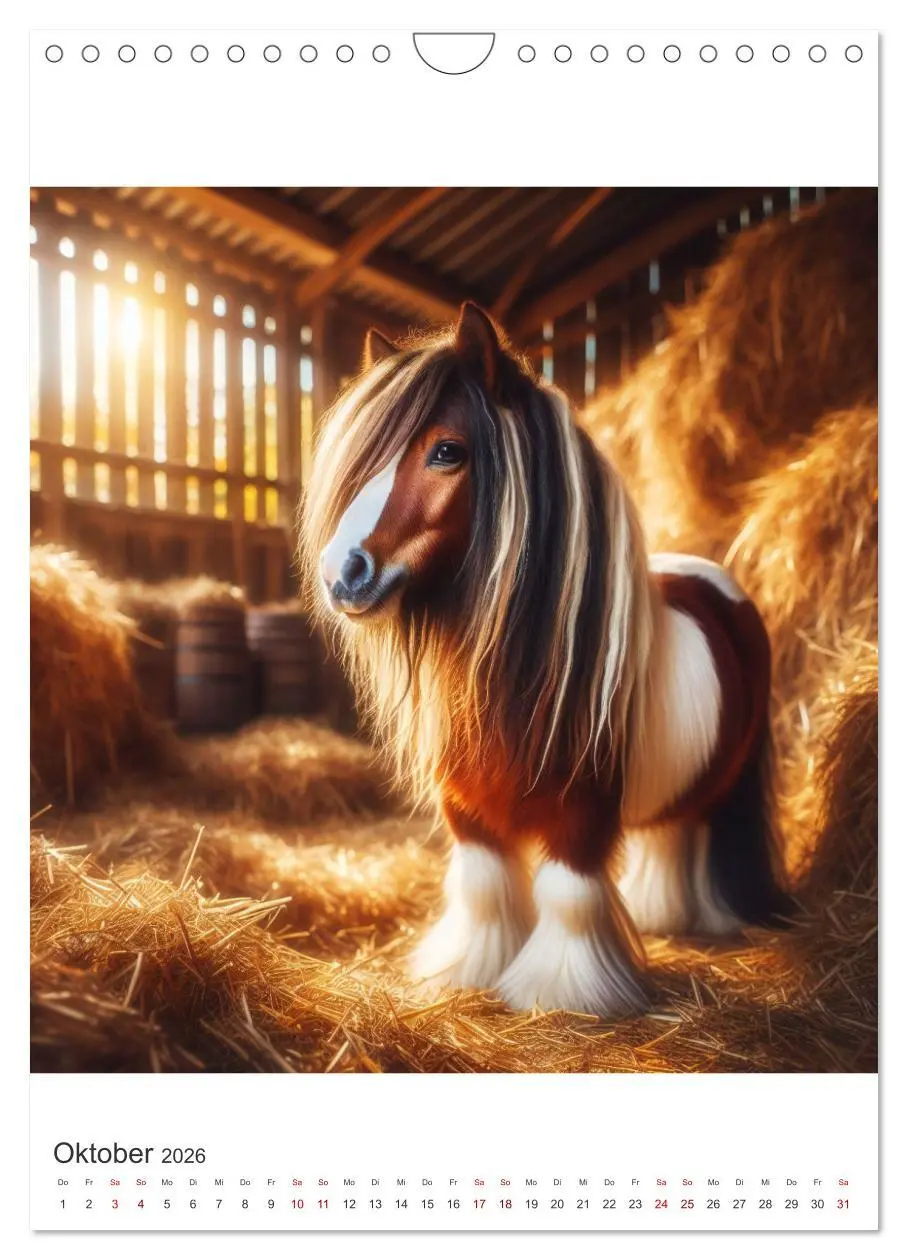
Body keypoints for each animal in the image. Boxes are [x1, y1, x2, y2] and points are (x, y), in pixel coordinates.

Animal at [301, 302, 790, 1019]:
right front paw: (469, 972)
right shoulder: (467, 810)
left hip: (732, 780)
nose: (343, 574)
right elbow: (483, 887)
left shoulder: (581, 818)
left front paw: (561, 994)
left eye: (448, 451)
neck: (521, 675)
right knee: (671, 831)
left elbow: (567, 894)